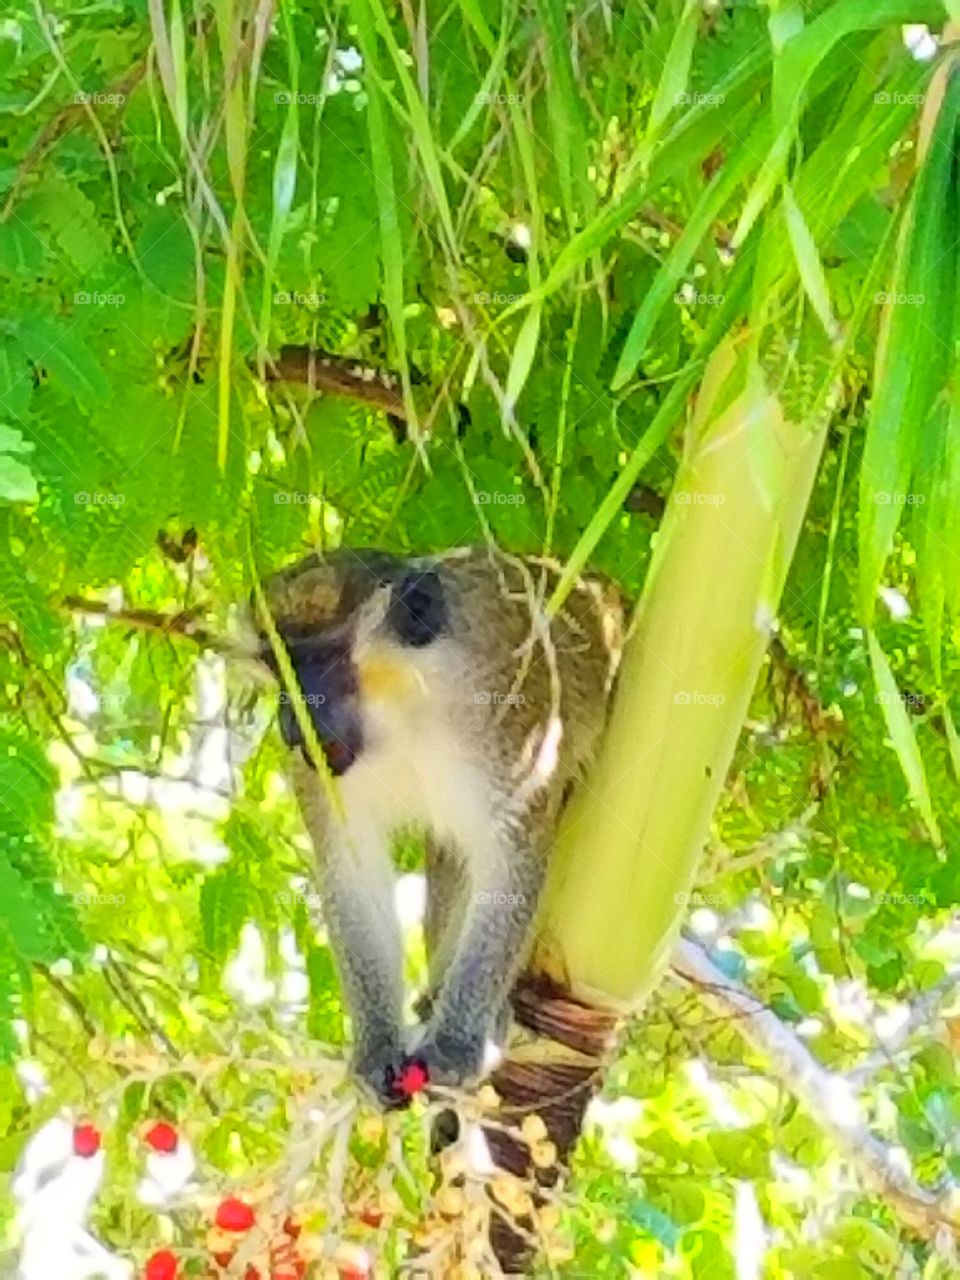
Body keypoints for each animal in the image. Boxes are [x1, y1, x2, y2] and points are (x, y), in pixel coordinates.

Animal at [254, 546, 624, 1108]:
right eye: (277, 668)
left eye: (316, 663)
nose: (289, 723)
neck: (407, 703)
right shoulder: (319, 769)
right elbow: (352, 871)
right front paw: (377, 1048)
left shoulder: (512, 723)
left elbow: (511, 856)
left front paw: (457, 1043)